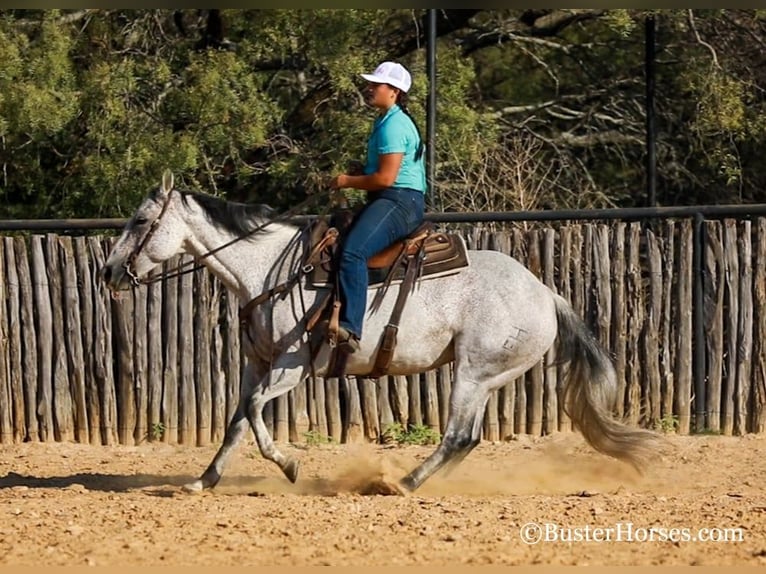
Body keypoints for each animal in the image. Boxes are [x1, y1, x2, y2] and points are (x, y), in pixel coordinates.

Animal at [100, 170, 659, 494]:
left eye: (142, 220)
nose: (108, 273)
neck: (268, 271)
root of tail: (545, 293)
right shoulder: (256, 363)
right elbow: (237, 420)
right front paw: (204, 480)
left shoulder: (291, 368)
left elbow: (256, 413)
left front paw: (288, 465)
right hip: (484, 378)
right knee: (469, 438)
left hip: (474, 373)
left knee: (457, 434)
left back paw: (402, 483)